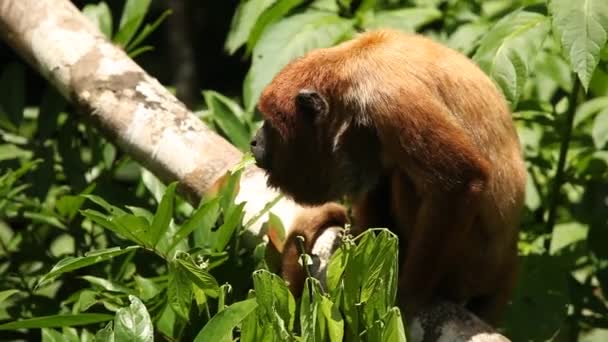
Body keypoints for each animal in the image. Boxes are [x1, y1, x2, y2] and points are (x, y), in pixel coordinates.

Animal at [251, 28, 528, 324]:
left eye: (271, 125)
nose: (254, 141)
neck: (351, 67)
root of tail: (508, 263)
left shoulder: (390, 100)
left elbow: (462, 180)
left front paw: (408, 298)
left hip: (468, 266)